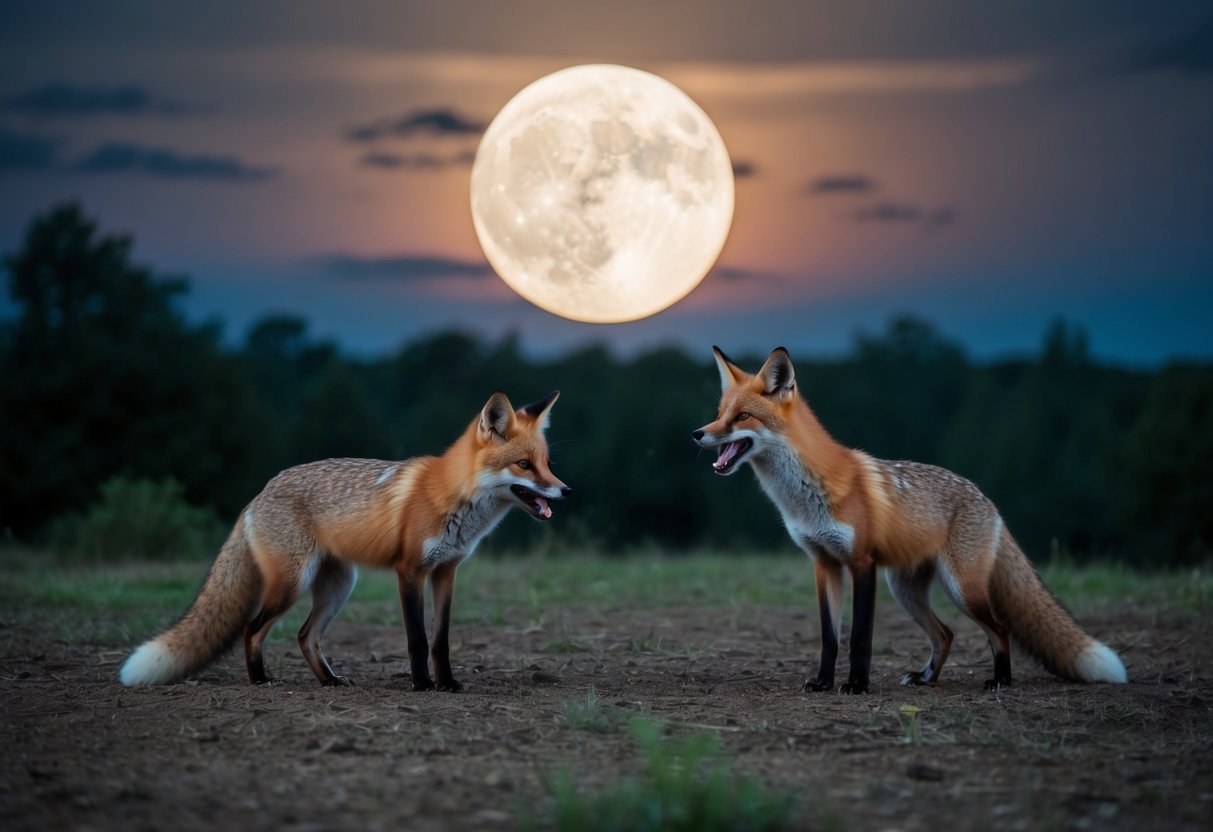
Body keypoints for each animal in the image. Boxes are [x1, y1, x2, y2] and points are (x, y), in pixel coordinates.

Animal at [119, 390, 570, 691]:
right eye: (523, 465)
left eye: (547, 463)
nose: (565, 491)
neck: (452, 497)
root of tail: (260, 492)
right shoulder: (409, 570)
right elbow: (417, 639)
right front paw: (422, 685)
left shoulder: (446, 571)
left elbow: (440, 640)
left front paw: (447, 684)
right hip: (291, 583)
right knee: (252, 628)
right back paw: (259, 680)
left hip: (338, 587)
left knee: (305, 636)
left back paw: (330, 681)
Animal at [693, 346, 1127, 693]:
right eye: (719, 414)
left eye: (743, 416)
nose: (698, 433)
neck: (804, 497)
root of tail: (988, 502)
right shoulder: (823, 563)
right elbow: (830, 638)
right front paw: (822, 683)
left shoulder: (862, 563)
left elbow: (859, 638)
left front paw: (857, 686)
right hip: (906, 590)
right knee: (946, 634)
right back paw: (926, 679)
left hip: (961, 588)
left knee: (999, 629)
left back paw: (1000, 681)